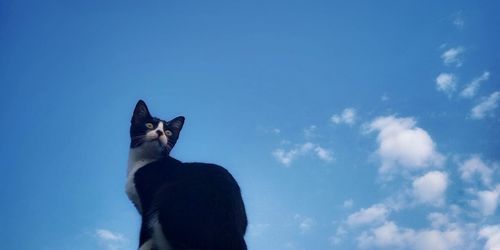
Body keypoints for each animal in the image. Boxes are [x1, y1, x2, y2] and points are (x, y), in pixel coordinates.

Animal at [127, 100, 248, 250]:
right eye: (149, 125)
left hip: (170, 199)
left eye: (168, 132)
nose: (160, 132)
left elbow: (145, 235)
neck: (144, 160)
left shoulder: (149, 200)